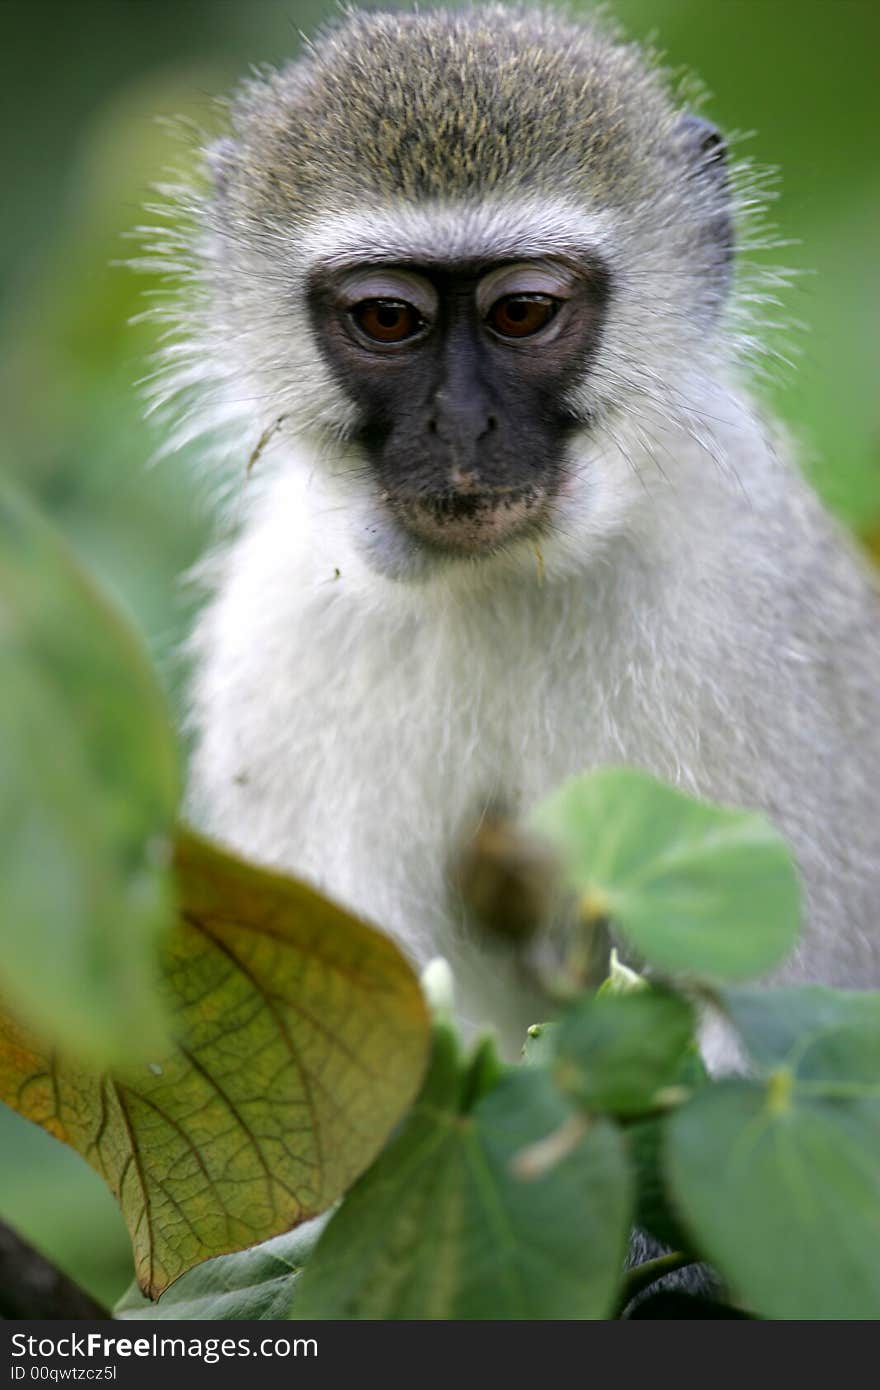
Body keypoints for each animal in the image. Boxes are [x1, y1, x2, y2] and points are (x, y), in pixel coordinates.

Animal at [150, 5, 878, 1056]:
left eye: (524, 311)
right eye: (388, 318)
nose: (461, 425)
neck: (494, 578)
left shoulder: (738, 601)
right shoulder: (279, 636)